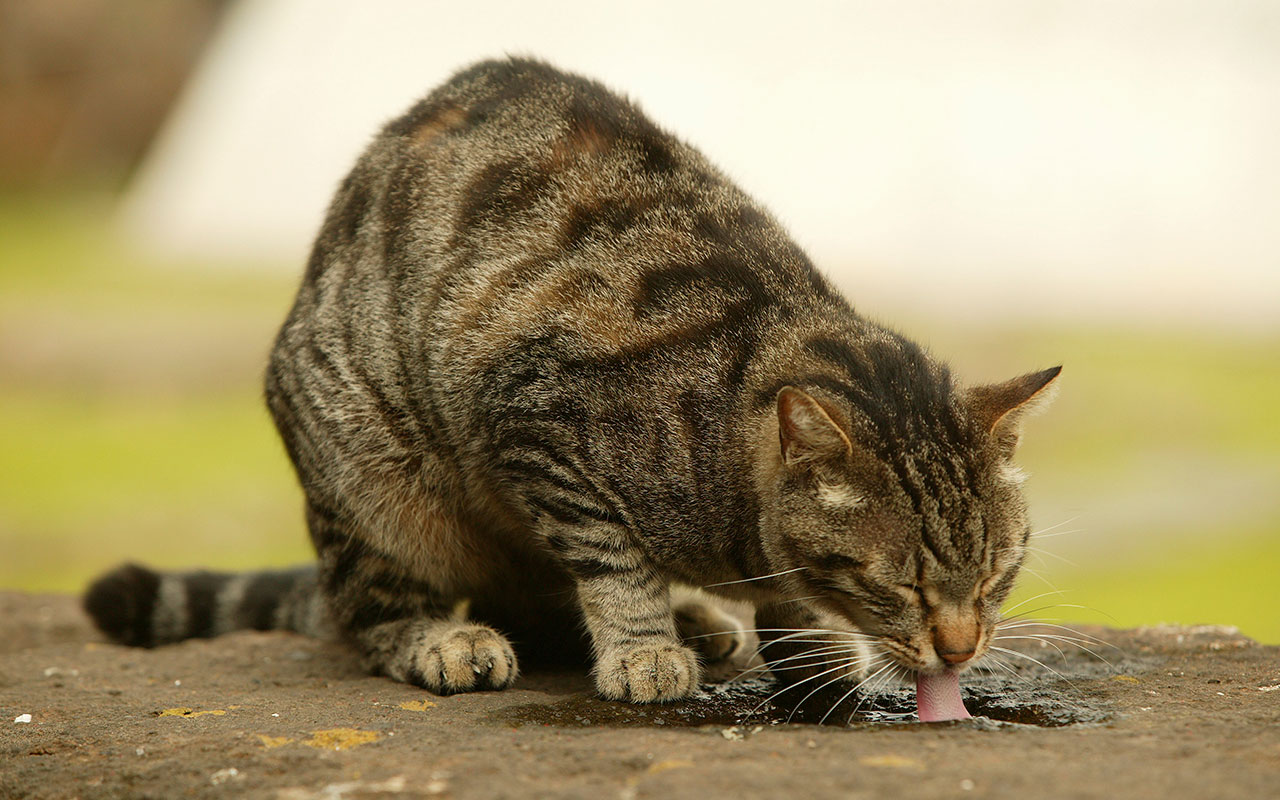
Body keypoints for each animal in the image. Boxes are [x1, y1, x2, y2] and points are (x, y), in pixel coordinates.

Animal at [85, 57, 1054, 706]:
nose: (962, 649)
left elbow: (780, 594)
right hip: (375, 487)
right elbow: (612, 559)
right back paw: (454, 639)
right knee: (375, 616)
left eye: (998, 575)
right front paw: (643, 649)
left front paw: (806, 649)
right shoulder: (535, 420)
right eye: (903, 585)